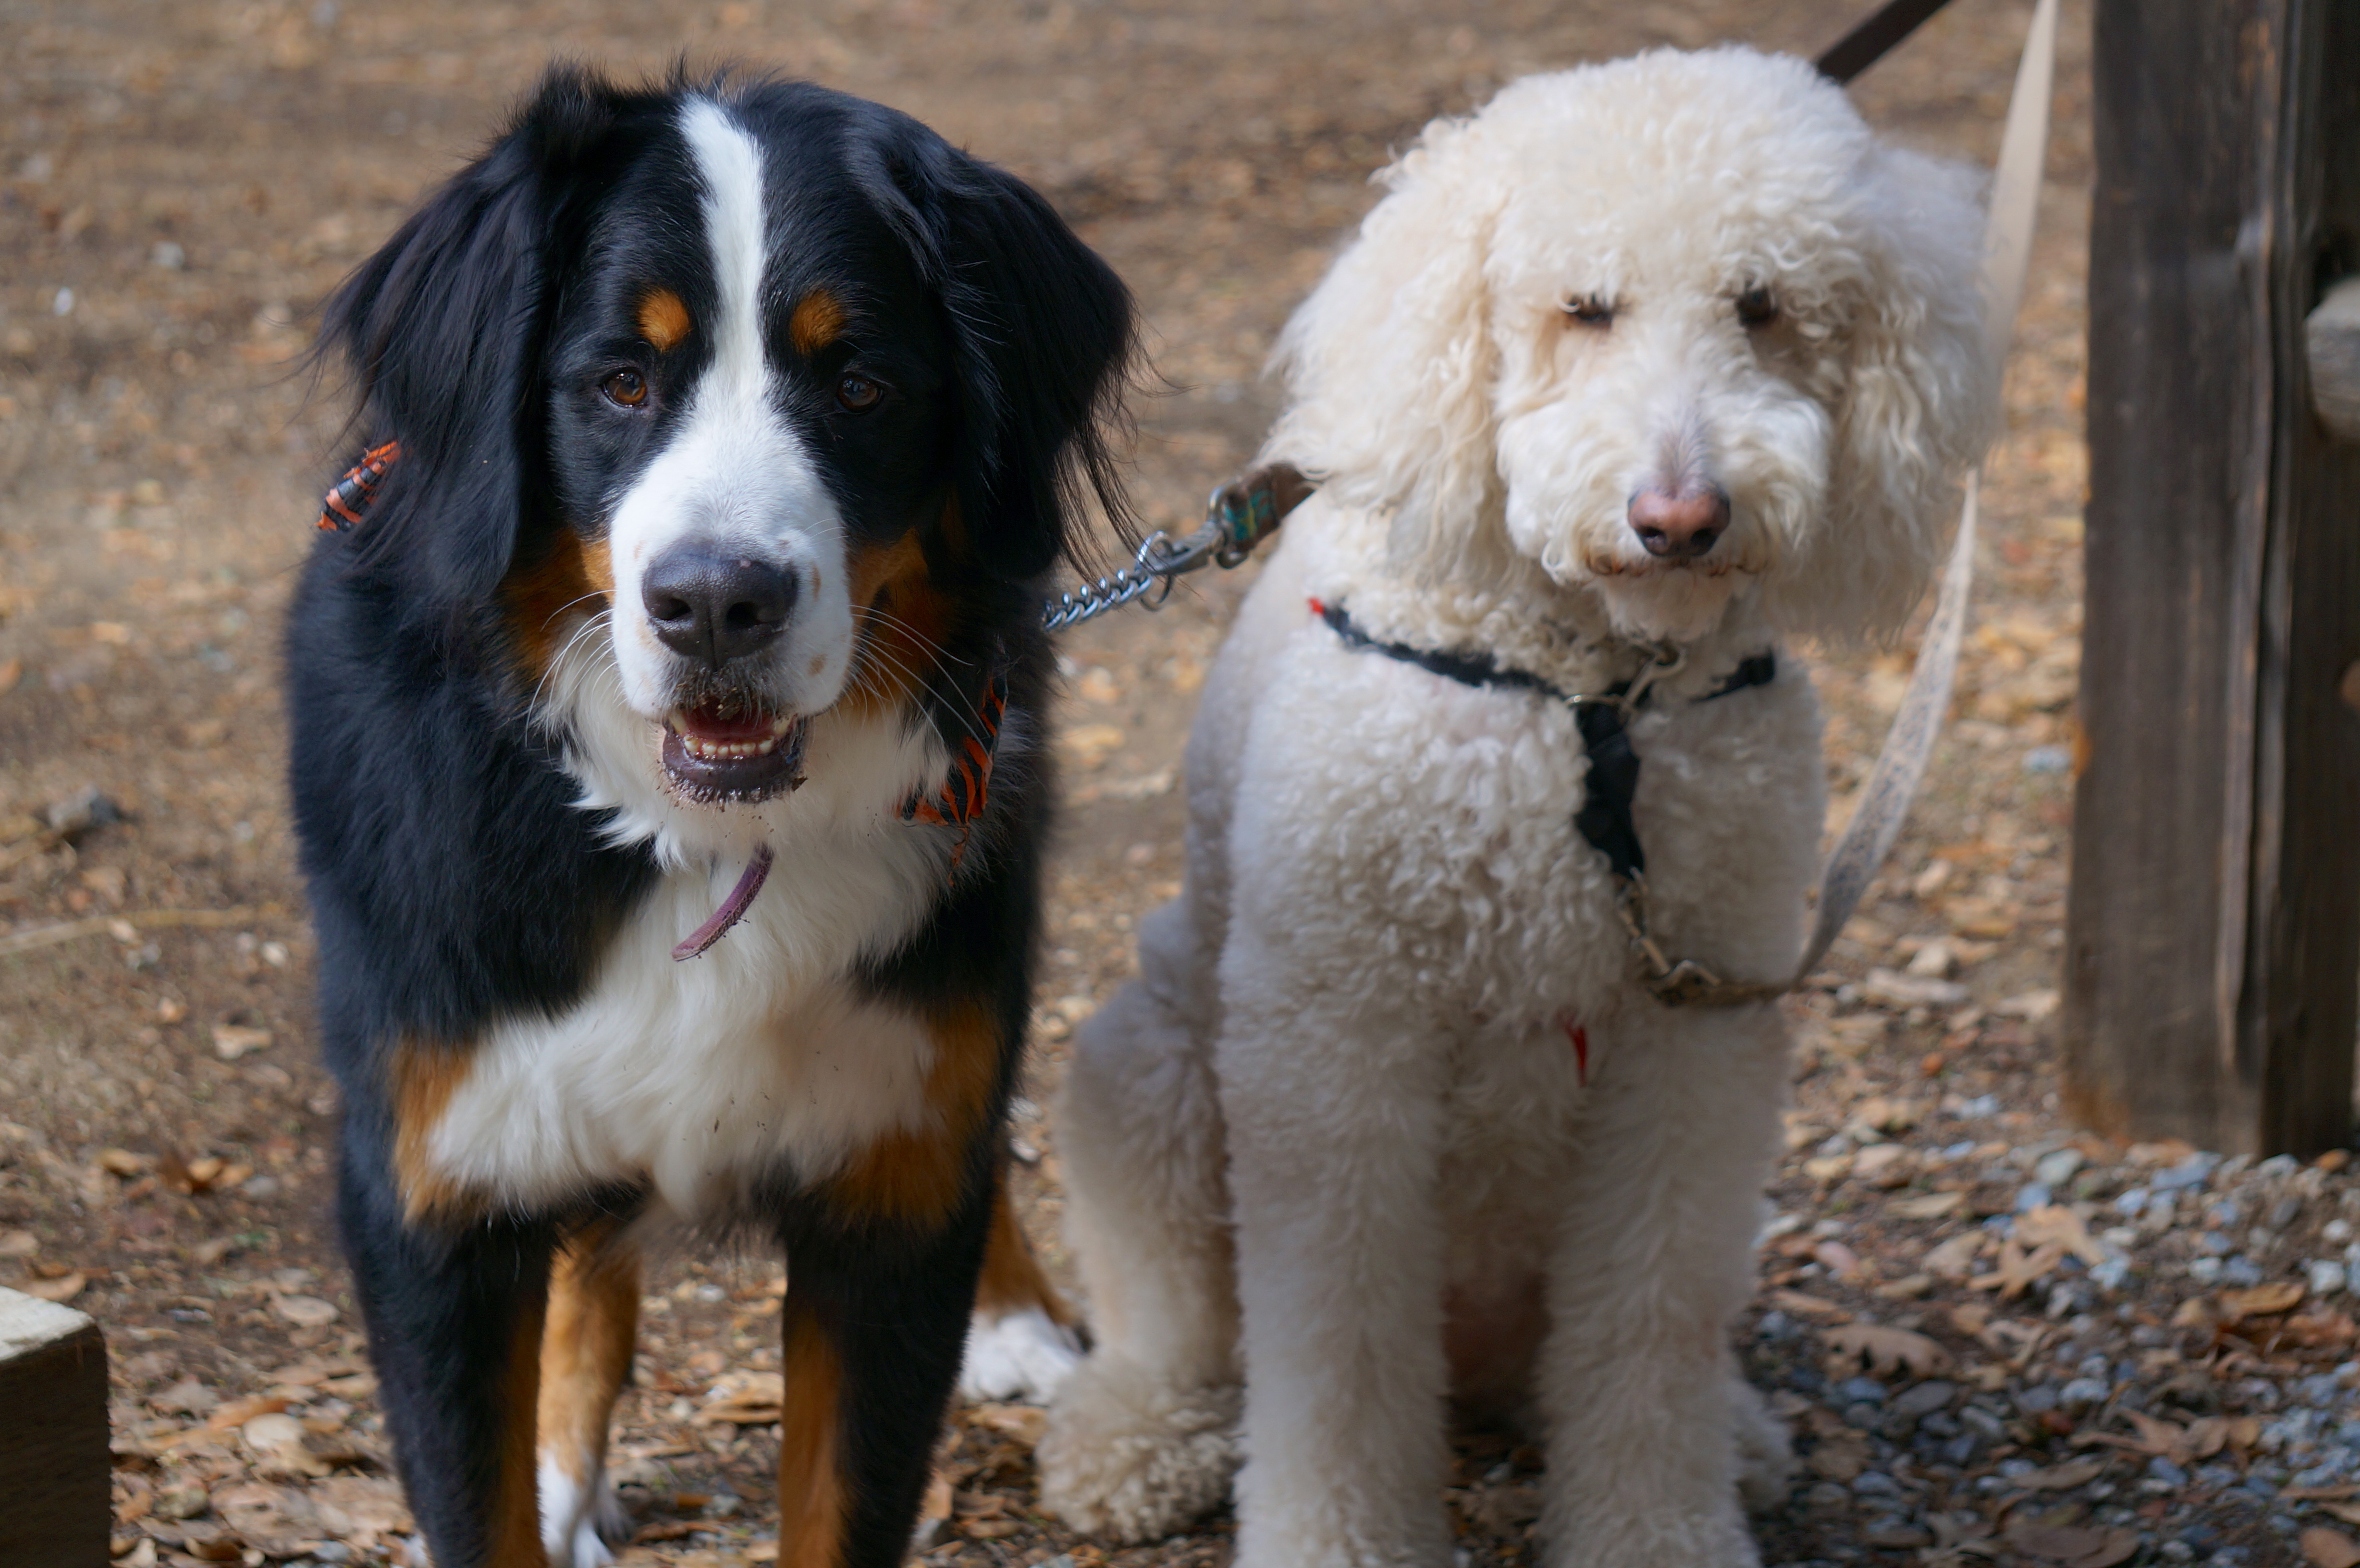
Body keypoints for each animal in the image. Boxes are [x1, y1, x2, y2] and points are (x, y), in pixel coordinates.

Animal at [285, 67, 1132, 1568]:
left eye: (859, 384)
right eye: (621, 381)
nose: (717, 603)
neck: (698, 843)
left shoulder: (885, 1196)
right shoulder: (434, 1198)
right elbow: (484, 1490)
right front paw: (544, 1472)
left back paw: (1014, 1312)